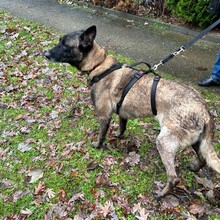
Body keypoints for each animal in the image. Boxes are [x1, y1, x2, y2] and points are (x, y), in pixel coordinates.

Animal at [44, 25, 220, 198]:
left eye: (65, 45)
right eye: (60, 41)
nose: (45, 54)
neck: (99, 65)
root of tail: (204, 108)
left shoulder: (104, 116)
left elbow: (101, 135)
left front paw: (97, 146)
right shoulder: (122, 114)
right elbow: (122, 128)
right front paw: (118, 136)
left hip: (164, 142)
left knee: (174, 177)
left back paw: (161, 193)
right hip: (197, 141)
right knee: (204, 159)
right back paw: (194, 167)